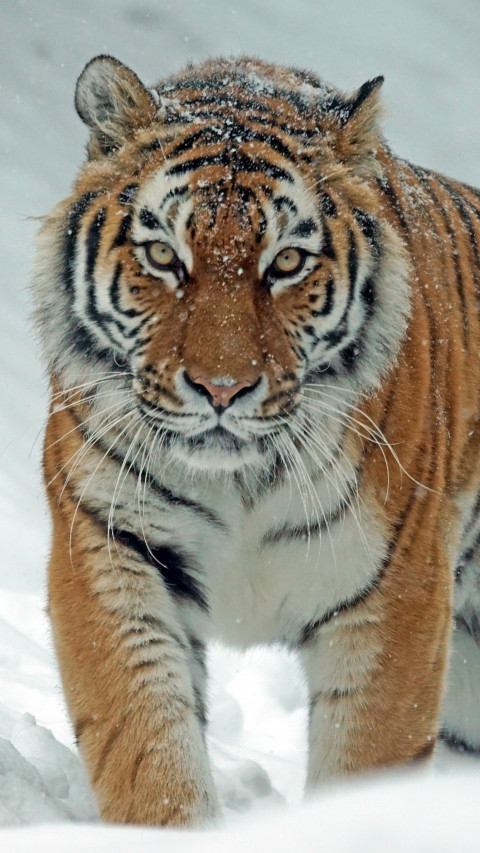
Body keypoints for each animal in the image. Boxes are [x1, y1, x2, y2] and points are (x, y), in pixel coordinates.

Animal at [30, 53, 480, 826]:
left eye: (287, 263)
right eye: (163, 255)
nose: (221, 389)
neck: (240, 481)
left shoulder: (398, 589)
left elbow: (365, 764)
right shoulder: (109, 543)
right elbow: (147, 747)